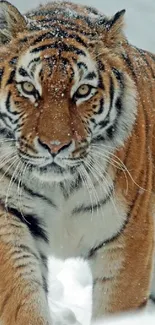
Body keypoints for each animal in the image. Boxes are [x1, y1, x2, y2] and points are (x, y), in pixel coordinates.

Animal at [0, 0, 155, 322]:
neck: (61, 187)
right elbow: (21, 299)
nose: (54, 146)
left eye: (83, 91)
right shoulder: (9, 216)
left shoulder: (130, 238)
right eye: (29, 88)